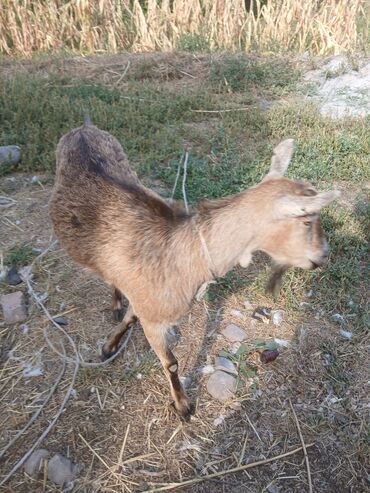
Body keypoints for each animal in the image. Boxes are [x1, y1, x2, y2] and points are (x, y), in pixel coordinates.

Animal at [49, 120, 342, 418]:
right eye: (307, 221)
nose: (323, 255)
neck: (183, 256)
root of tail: (84, 127)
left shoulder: (146, 301)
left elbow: (133, 317)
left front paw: (109, 345)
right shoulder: (154, 318)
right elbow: (171, 363)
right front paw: (183, 406)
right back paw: (115, 302)